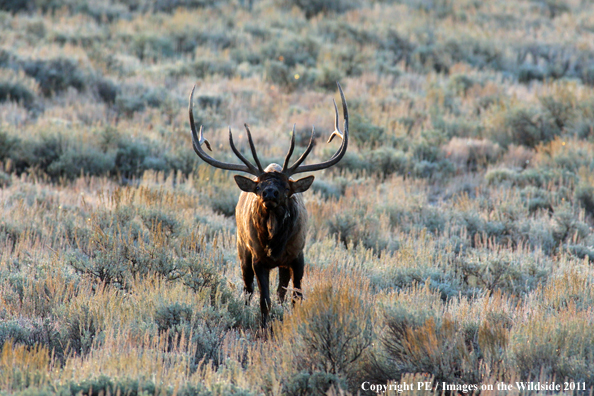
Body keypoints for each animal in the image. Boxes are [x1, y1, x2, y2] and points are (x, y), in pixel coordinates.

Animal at [190, 83, 346, 324]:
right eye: (258, 187)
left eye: (286, 188)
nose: (269, 192)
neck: (274, 244)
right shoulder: (257, 258)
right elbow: (264, 301)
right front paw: (265, 327)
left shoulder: (298, 255)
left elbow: (296, 297)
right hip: (241, 248)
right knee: (247, 289)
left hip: (282, 263)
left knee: (281, 290)